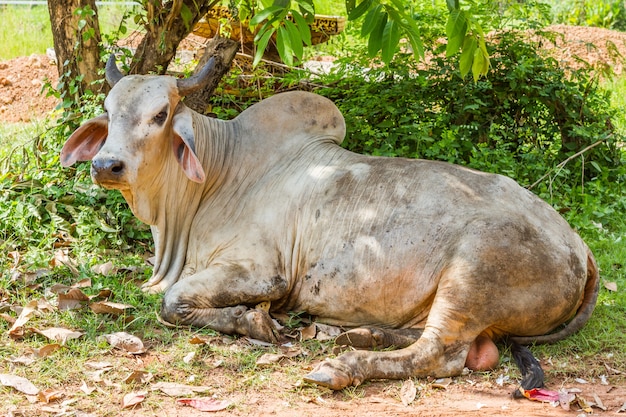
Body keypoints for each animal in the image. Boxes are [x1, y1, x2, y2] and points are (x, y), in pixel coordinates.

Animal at [61, 56, 596, 394]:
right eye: (108, 112)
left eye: (160, 114)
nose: (106, 165)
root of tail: (579, 245)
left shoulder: (265, 273)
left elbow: (174, 303)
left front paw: (255, 321)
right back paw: (358, 335)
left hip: (471, 275)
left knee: (440, 355)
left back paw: (342, 365)